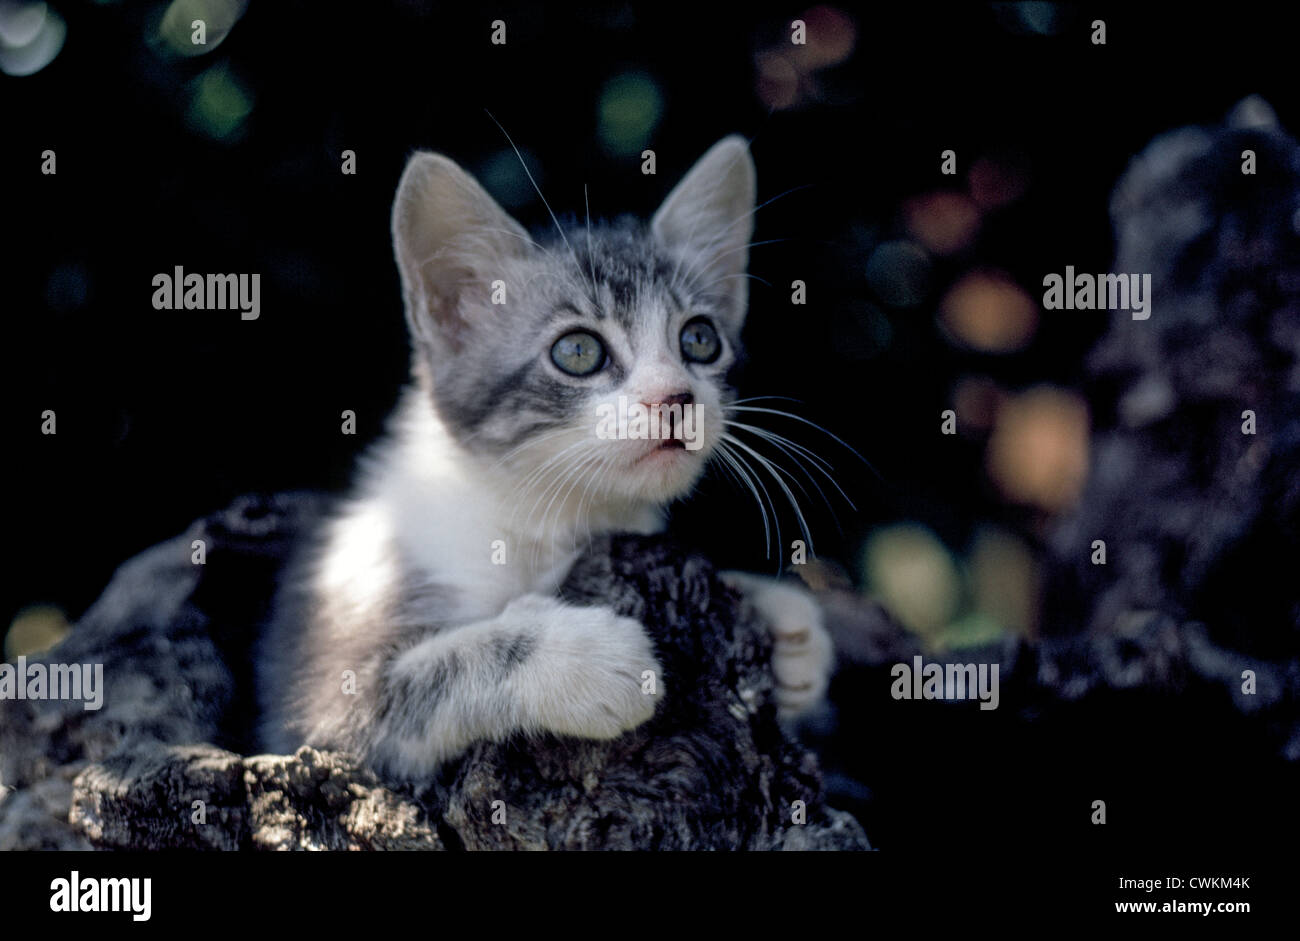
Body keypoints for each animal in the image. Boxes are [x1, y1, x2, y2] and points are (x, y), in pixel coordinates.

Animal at [258, 132, 837, 779]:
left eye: (700, 339)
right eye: (578, 351)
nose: (676, 397)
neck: (538, 518)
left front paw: (785, 623)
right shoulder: (325, 703)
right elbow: (430, 676)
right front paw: (583, 657)